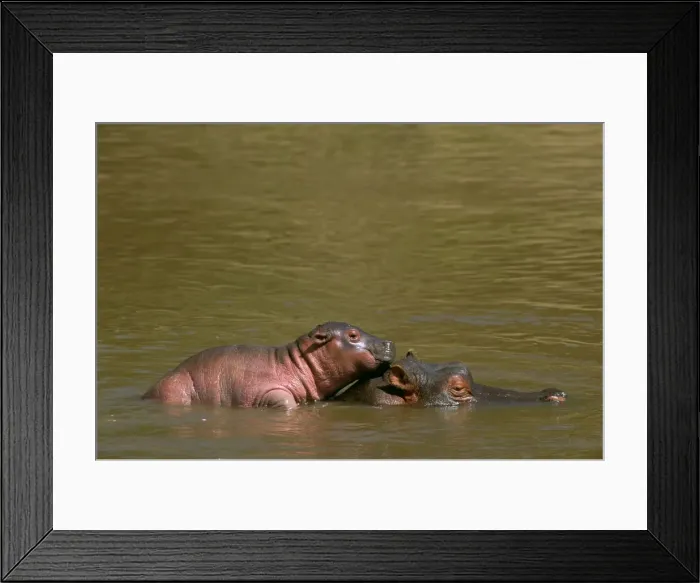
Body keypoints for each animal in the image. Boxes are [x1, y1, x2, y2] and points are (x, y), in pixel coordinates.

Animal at [142, 322, 395, 409]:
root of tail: (146, 394)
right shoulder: (268, 392)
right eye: (353, 335)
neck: (298, 364)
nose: (389, 342)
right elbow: (286, 403)